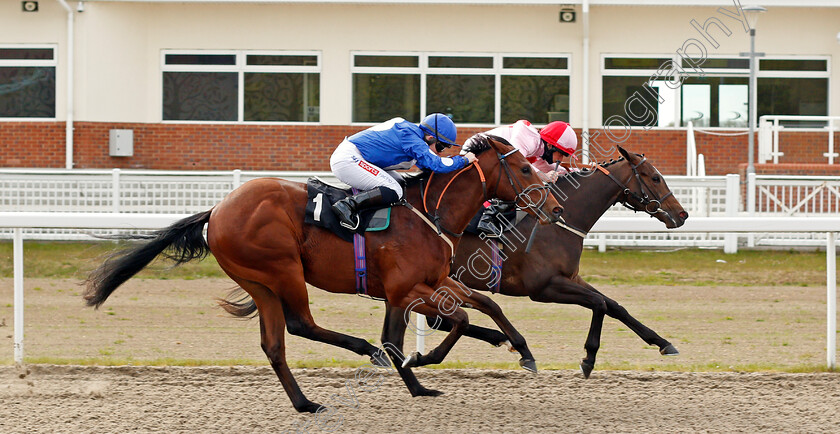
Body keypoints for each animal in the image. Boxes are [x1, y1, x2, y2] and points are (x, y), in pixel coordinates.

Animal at [83, 136, 564, 414]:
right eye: (525, 168)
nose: (556, 207)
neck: (429, 212)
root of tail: (217, 210)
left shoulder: (426, 284)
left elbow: (481, 304)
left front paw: (516, 351)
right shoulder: (405, 288)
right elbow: (452, 320)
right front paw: (423, 361)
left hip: (259, 283)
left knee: (274, 344)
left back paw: (305, 403)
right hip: (284, 270)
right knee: (301, 324)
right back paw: (362, 351)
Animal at [388, 147, 688, 390]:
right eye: (655, 177)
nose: (682, 214)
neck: (561, 220)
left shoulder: (571, 277)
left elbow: (614, 306)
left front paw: (662, 342)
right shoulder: (544, 287)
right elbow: (599, 304)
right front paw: (588, 358)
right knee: (439, 320)